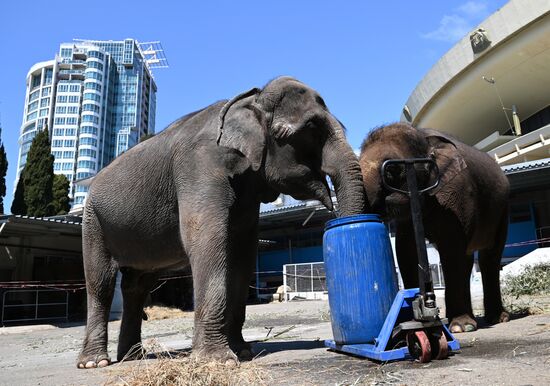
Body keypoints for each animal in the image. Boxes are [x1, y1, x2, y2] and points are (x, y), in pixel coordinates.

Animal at [76, 76, 366, 368]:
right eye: (311, 129)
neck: (250, 102)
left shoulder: (248, 189)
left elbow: (242, 254)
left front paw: (243, 352)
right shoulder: (199, 166)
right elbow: (207, 239)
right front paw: (218, 361)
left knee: (136, 285)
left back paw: (133, 357)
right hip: (93, 222)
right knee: (101, 281)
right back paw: (95, 362)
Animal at [360, 123, 512, 332]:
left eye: (392, 171)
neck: (422, 136)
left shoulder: (457, 193)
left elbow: (452, 249)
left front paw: (460, 327)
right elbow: (406, 251)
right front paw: (410, 318)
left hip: (502, 209)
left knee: (489, 258)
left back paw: (495, 319)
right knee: (471, 258)